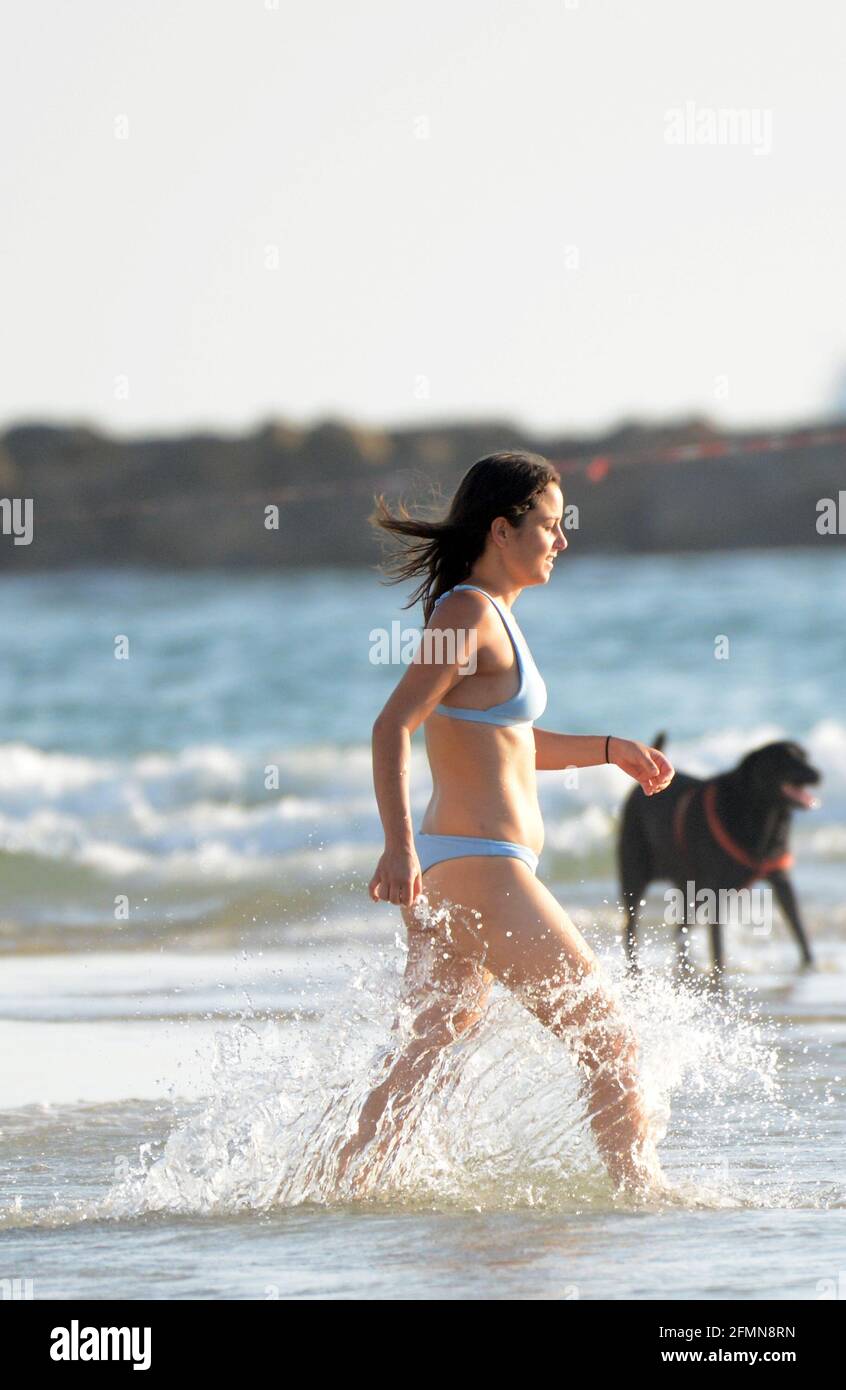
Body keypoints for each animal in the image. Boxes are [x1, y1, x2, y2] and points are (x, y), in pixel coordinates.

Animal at [614, 739, 816, 978]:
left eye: (805, 757)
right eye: (784, 760)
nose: (818, 774)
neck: (763, 817)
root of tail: (637, 790)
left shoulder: (781, 878)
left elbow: (799, 928)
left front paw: (811, 964)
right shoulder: (716, 892)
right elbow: (718, 945)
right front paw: (719, 972)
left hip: (691, 889)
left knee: (680, 927)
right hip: (635, 872)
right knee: (631, 924)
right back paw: (635, 965)